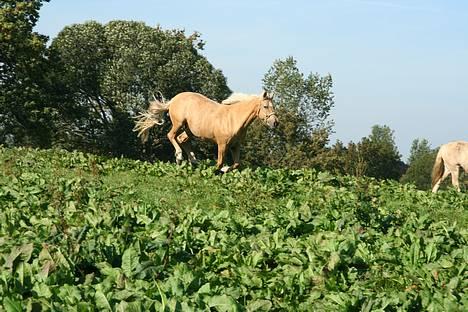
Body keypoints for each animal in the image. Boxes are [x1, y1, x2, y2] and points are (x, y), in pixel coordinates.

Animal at [132, 90, 278, 173]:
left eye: (274, 106)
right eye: (266, 106)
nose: (275, 122)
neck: (234, 119)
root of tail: (174, 99)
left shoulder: (235, 146)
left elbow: (237, 164)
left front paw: (225, 169)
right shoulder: (222, 144)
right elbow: (220, 162)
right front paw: (217, 171)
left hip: (189, 130)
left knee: (182, 140)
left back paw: (193, 161)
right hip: (179, 123)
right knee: (171, 136)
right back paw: (179, 156)